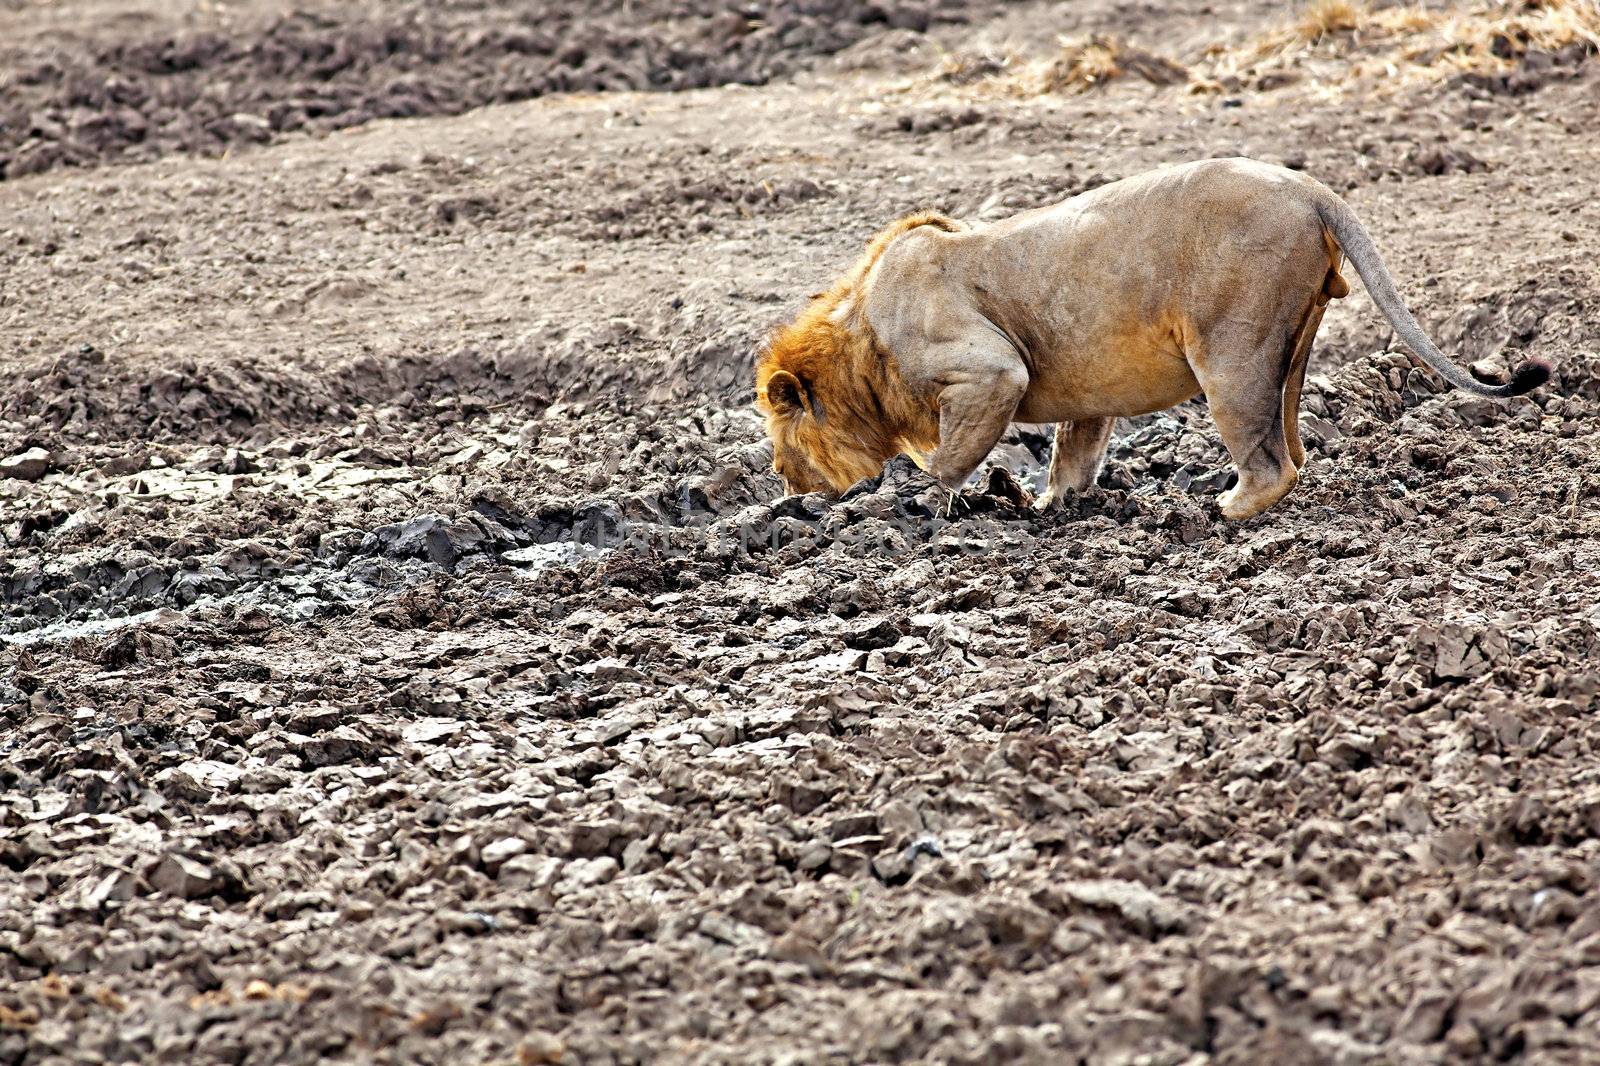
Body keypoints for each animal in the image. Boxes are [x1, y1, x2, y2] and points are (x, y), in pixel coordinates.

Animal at [755, 157, 1555, 518]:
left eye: (783, 438)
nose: (784, 487)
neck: (862, 346)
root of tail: (1307, 186)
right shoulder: (1082, 395)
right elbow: (1073, 457)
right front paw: (1051, 506)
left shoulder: (991, 370)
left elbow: (948, 459)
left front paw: (918, 505)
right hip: (1292, 342)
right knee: (1293, 443)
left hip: (1229, 350)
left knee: (1271, 462)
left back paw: (1223, 509)